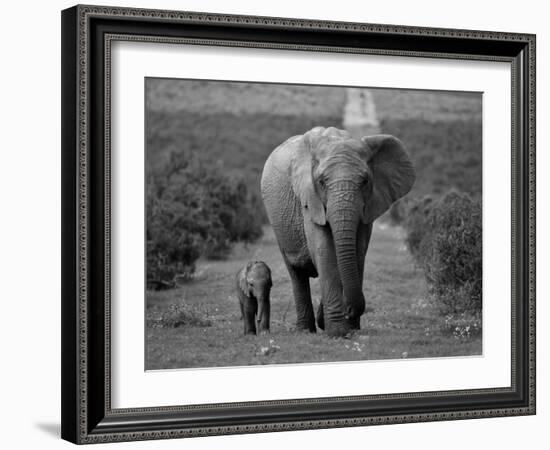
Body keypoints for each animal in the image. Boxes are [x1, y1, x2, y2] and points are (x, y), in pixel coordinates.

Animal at [260, 126, 416, 338]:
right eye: (321, 182)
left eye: (365, 181)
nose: (349, 310)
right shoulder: (310, 200)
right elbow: (325, 251)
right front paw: (337, 332)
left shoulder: (368, 206)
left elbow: (358, 252)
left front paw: (349, 327)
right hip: (277, 223)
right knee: (296, 273)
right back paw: (305, 330)